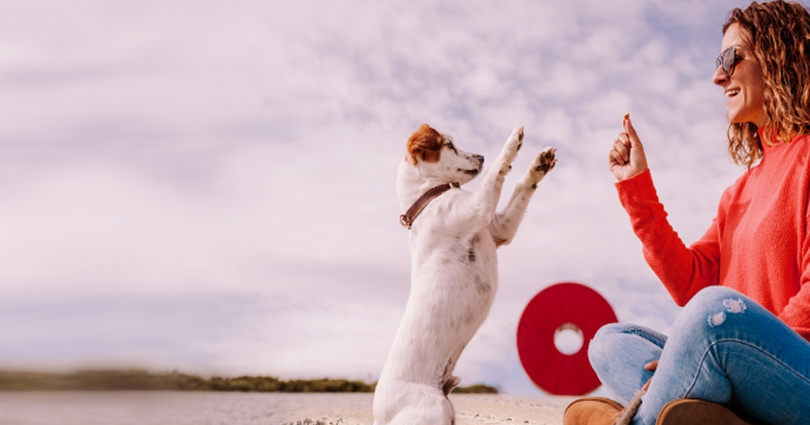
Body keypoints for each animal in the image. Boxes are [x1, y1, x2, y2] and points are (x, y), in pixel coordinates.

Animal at [372, 123, 556, 424]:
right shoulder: (478, 207)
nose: (481, 156)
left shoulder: (501, 229)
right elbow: (497, 170)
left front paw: (538, 165)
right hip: (434, 409)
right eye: (449, 145)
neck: (429, 198)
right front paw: (512, 142)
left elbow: (520, 186)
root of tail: (380, 417)